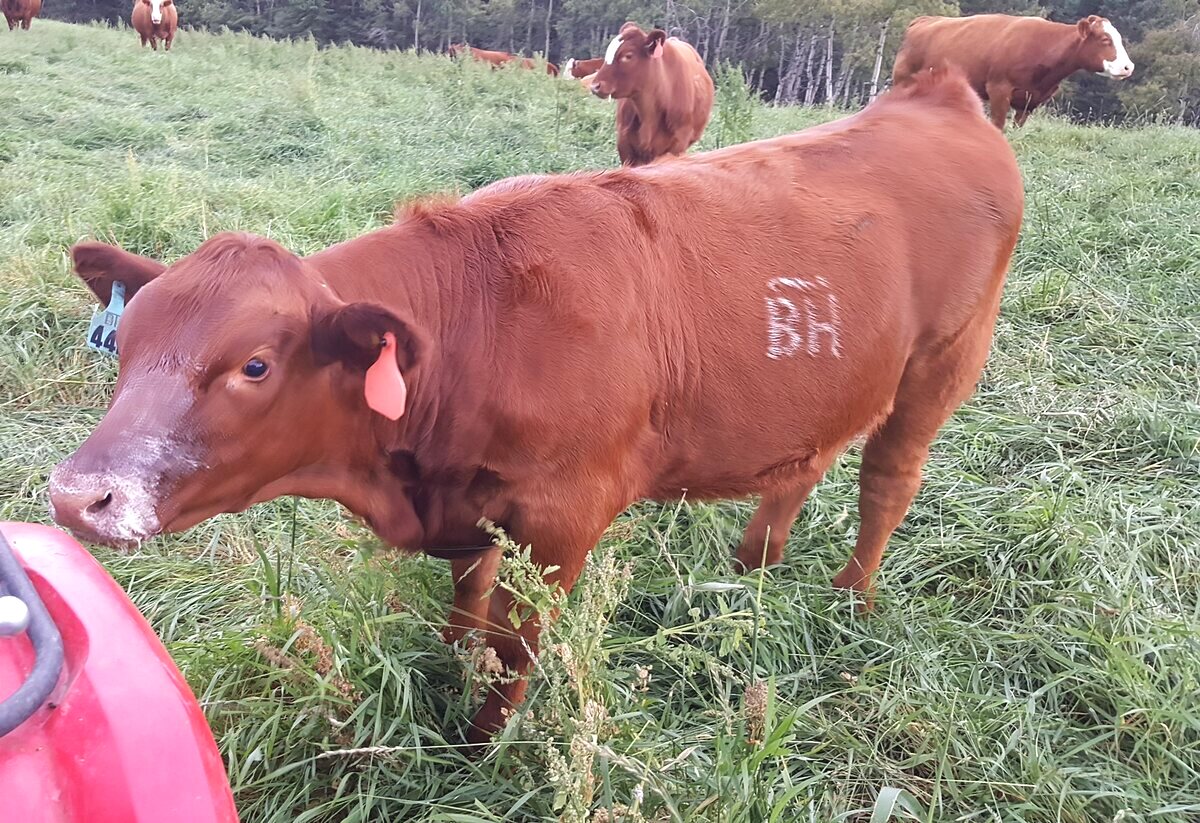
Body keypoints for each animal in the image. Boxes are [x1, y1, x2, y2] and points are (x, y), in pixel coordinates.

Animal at [49, 68, 1023, 744]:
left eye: (254, 364)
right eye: (125, 345)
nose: (76, 495)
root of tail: (937, 97)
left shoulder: (561, 517)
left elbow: (512, 653)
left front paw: (477, 749)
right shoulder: (476, 504)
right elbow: (466, 608)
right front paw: (450, 670)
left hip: (944, 362)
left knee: (888, 478)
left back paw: (850, 604)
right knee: (799, 471)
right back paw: (751, 576)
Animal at [892, 13, 1134, 130]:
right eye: (1105, 39)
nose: (1128, 67)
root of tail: (925, 19)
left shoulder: (1031, 100)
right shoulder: (999, 89)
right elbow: (998, 126)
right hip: (902, 79)